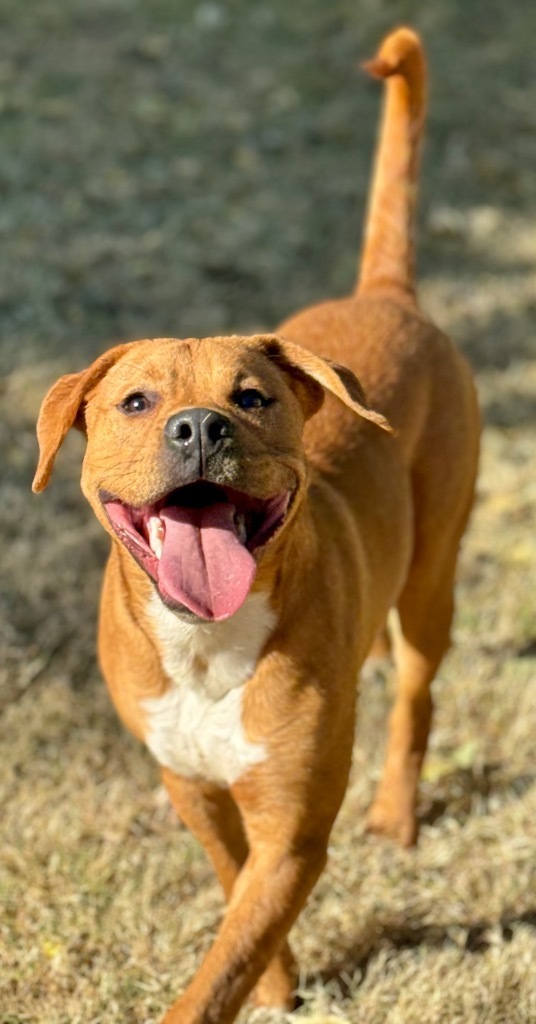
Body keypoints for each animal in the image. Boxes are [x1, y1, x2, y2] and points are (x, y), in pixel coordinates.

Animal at [33, 28, 477, 1024]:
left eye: (252, 398)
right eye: (136, 401)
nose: (200, 427)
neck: (206, 644)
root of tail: (388, 295)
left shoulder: (295, 827)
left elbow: (226, 958)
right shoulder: (193, 787)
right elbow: (237, 901)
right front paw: (280, 980)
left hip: (437, 569)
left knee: (420, 690)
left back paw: (397, 811)